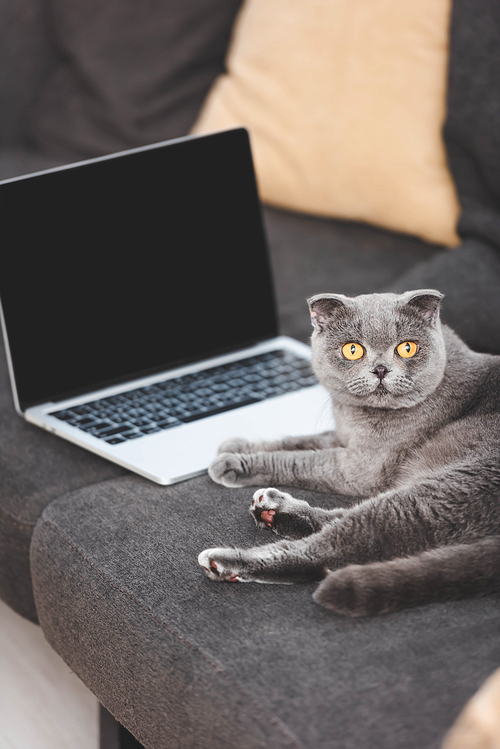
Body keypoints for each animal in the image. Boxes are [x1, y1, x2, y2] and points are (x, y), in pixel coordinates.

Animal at [198, 290, 500, 612]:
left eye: (407, 348)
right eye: (352, 350)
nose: (380, 369)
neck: (353, 415)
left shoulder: (360, 468)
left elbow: (301, 461)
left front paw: (233, 463)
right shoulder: (343, 437)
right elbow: (304, 440)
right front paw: (236, 446)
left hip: (440, 496)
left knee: (331, 551)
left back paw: (226, 560)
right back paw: (274, 510)